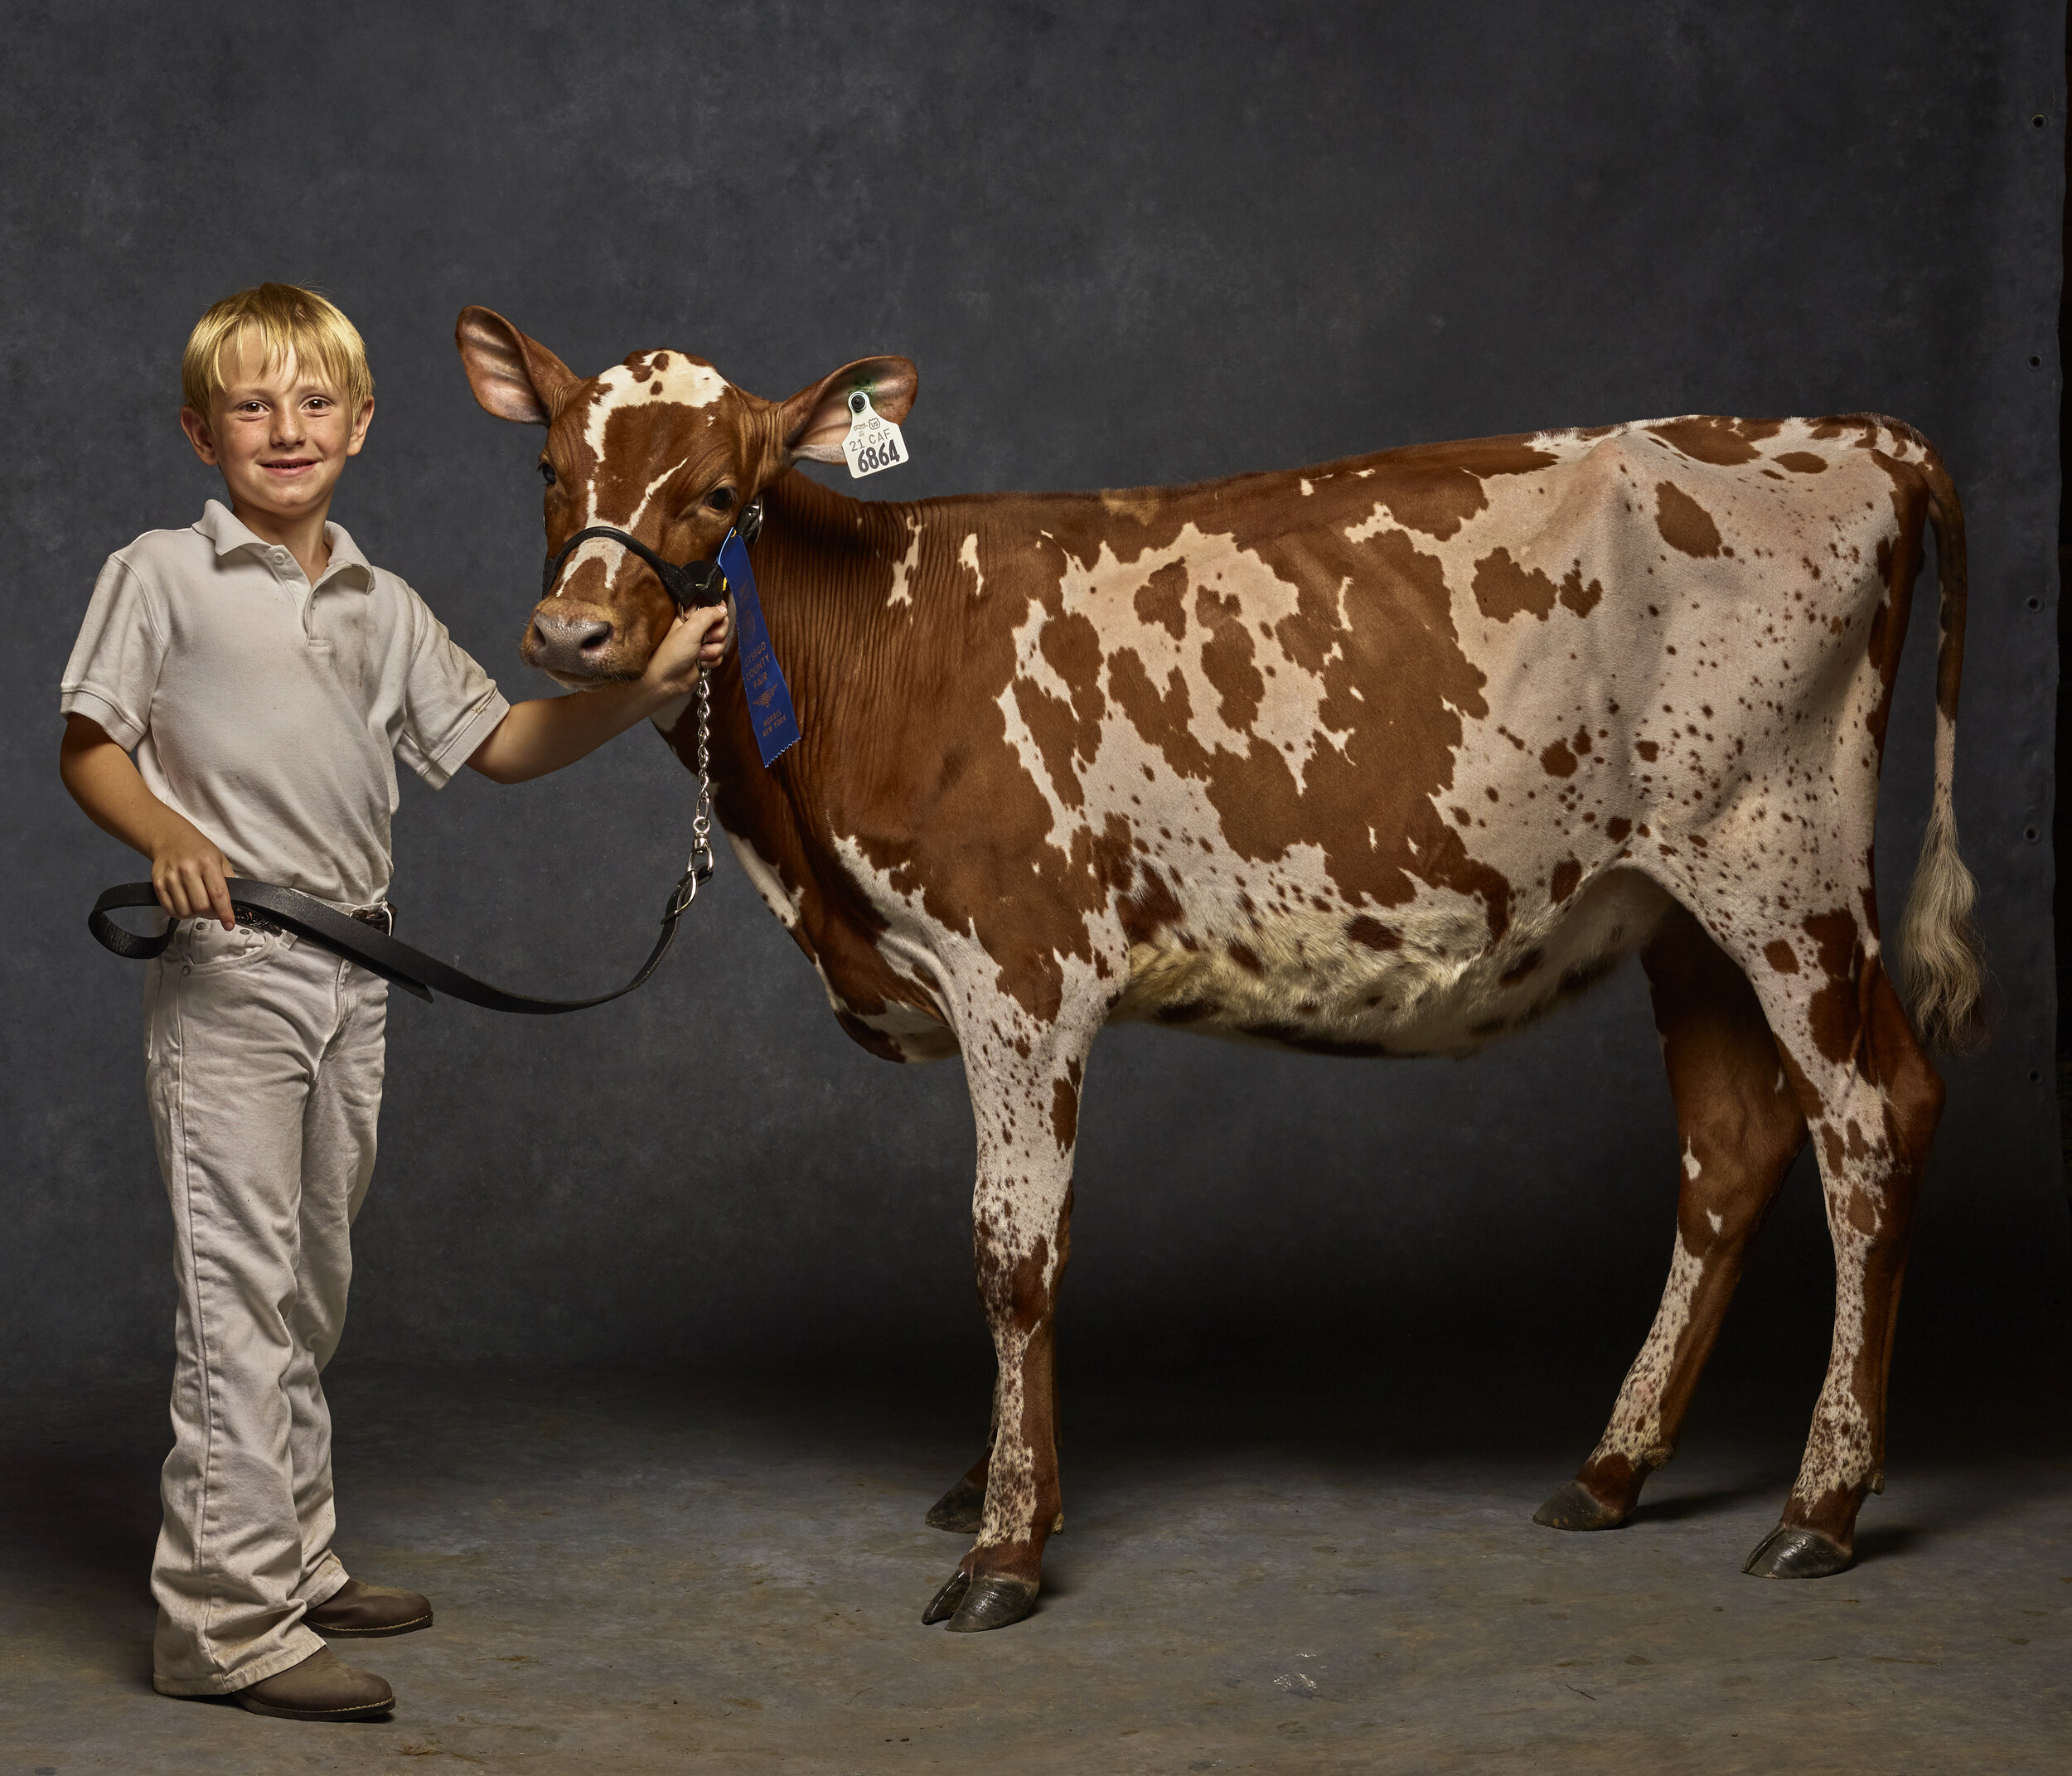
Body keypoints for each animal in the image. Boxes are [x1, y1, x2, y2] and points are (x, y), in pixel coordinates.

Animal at [462, 298, 1981, 1624]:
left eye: (722, 491)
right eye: (548, 466)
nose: (572, 633)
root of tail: (1857, 434)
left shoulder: (1021, 973)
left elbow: (1012, 1250)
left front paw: (1006, 1543)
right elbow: (1031, 1240)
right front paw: (995, 1482)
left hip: (1783, 869)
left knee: (1869, 1121)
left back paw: (1819, 1505)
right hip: (1676, 904)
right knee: (1731, 1146)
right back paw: (1612, 1468)